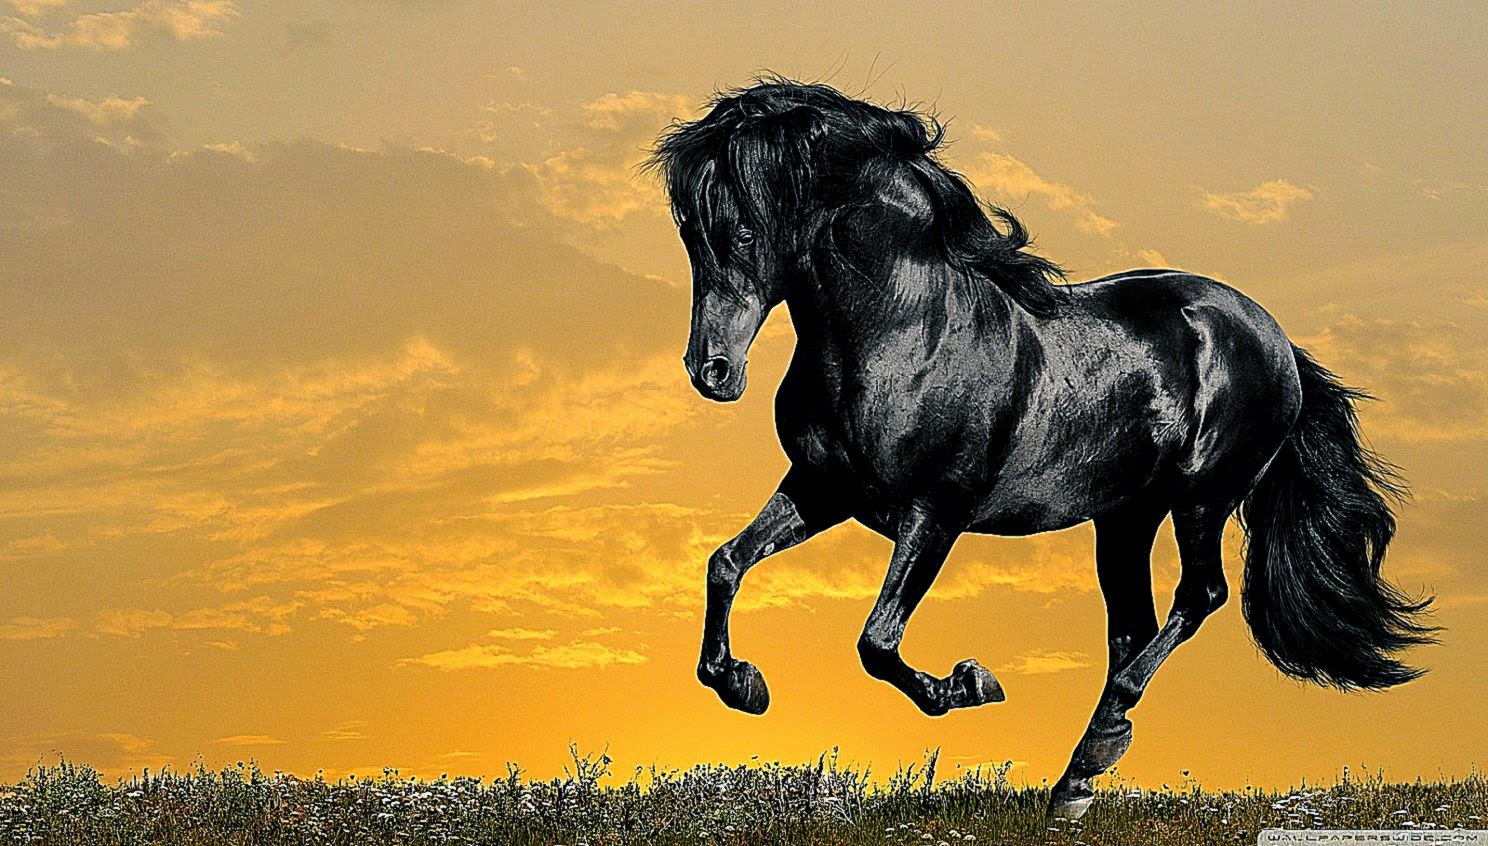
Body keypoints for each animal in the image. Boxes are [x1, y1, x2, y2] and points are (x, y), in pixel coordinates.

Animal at [646, 78, 1435, 819]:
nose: (712, 372)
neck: (904, 331)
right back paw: (1076, 781)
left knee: (1198, 597)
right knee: (1133, 628)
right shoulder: (822, 489)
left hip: (1201, 499)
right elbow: (726, 564)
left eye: (743, 232)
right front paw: (742, 684)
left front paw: (968, 684)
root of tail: (1273, 339)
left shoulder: (936, 514)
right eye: (688, 232)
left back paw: (1099, 743)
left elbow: (877, 642)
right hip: (1124, 519)